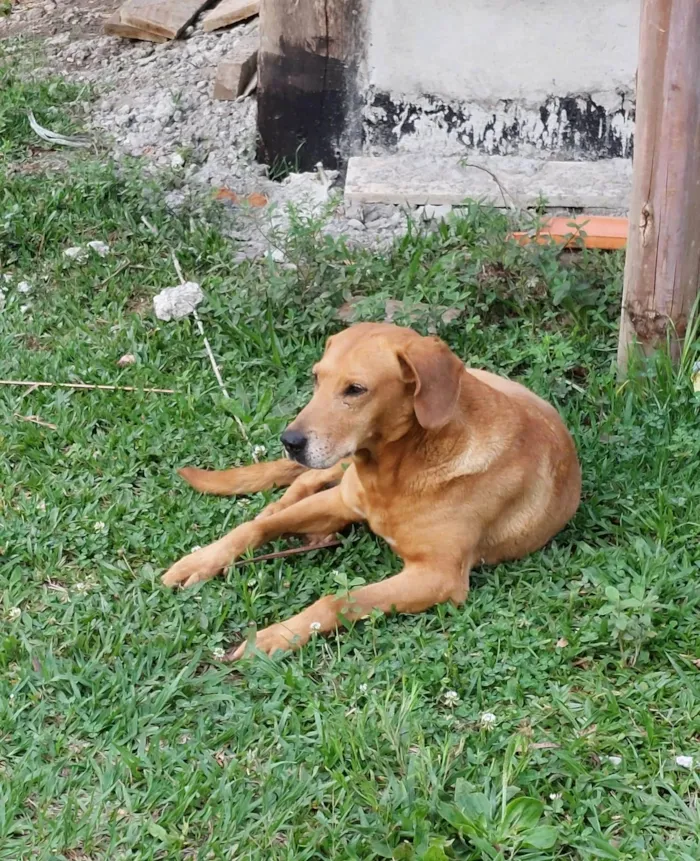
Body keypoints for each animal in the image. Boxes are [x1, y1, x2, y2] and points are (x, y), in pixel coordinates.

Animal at [163, 322, 580, 660]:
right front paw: (200, 561)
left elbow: (336, 601)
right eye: (317, 378)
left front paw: (275, 636)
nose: (290, 441)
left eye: (356, 389)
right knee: (300, 485)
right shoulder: (342, 500)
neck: (397, 471)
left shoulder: (438, 576)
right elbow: (253, 529)